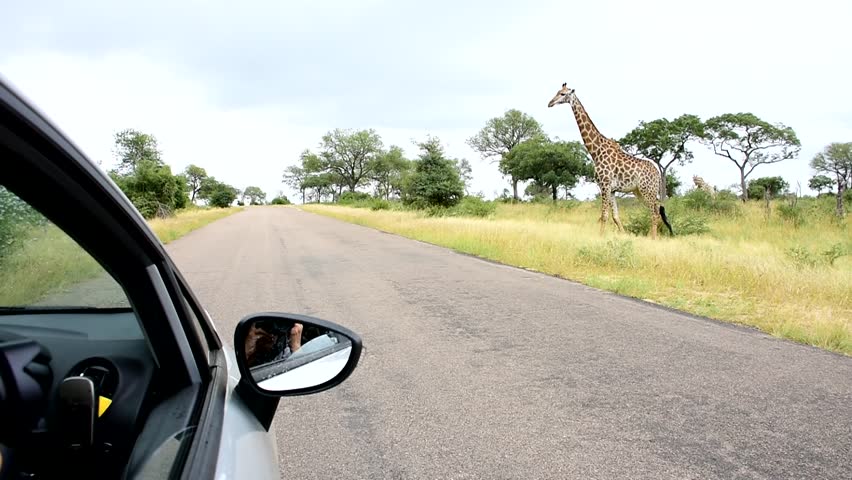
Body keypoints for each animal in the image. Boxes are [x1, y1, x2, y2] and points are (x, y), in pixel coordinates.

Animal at [547, 83, 673, 239]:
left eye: (563, 94)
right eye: (558, 91)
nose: (550, 103)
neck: (595, 151)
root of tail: (658, 174)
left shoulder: (605, 185)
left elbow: (604, 215)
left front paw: (600, 237)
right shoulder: (612, 189)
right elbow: (615, 217)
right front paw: (624, 236)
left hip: (647, 190)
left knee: (655, 212)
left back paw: (653, 239)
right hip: (639, 191)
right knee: (655, 211)